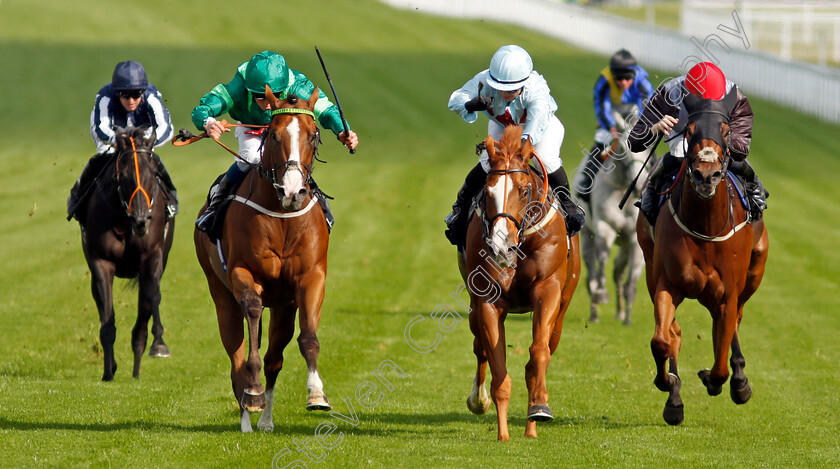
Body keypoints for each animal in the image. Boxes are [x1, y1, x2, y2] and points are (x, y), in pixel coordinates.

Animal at [79, 125, 176, 380]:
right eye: (121, 176)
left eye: (153, 174)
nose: (141, 221)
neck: (125, 220)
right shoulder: (101, 262)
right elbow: (107, 320)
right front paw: (108, 372)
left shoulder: (152, 257)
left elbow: (151, 300)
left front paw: (158, 346)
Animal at [194, 85, 332, 432]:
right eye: (274, 136)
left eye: (313, 135)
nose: (293, 192)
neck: (282, 217)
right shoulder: (243, 273)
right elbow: (252, 320)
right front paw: (253, 392)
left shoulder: (311, 278)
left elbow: (308, 338)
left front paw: (316, 394)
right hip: (221, 295)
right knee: (237, 357)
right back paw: (248, 412)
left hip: (283, 306)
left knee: (274, 359)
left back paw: (266, 420)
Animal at [462, 124, 580, 438]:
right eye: (488, 191)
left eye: (524, 190)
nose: (501, 246)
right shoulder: (488, 301)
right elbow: (497, 366)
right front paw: (502, 434)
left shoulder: (548, 291)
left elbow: (538, 353)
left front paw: (539, 408)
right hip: (473, 307)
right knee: (479, 347)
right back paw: (480, 401)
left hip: (562, 310)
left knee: (544, 351)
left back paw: (531, 427)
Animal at [636, 93, 768, 426]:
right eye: (689, 130)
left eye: (726, 130)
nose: (706, 175)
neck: (705, 225)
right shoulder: (666, 285)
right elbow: (662, 340)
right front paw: (668, 383)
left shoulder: (727, 295)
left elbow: (720, 364)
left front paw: (719, 379)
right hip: (650, 266)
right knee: (674, 332)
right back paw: (675, 397)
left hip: (753, 274)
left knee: (735, 322)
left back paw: (740, 381)